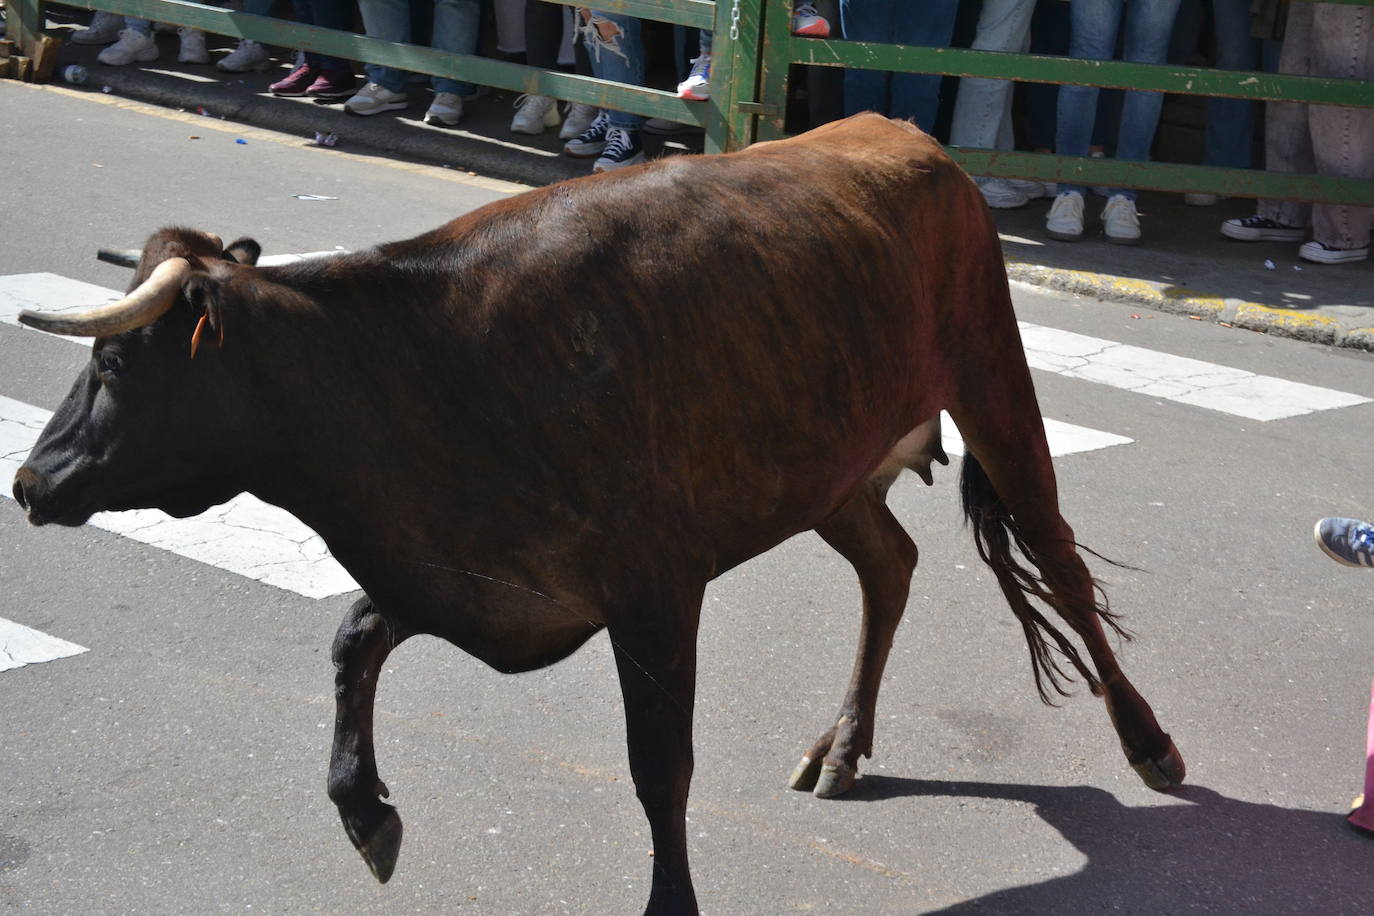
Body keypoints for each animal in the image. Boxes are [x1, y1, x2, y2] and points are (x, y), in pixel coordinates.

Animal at [8, 112, 1181, 911]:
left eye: (112, 363)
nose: (29, 481)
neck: (426, 369)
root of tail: (901, 136)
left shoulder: (654, 592)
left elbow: (660, 769)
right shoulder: (468, 576)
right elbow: (351, 639)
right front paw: (365, 811)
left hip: (993, 378)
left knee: (1059, 561)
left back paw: (1150, 741)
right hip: (824, 468)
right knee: (889, 564)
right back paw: (844, 748)